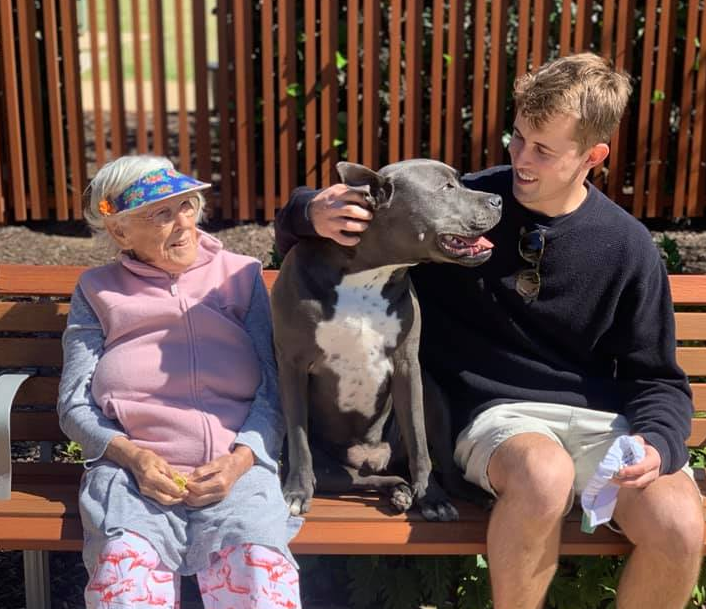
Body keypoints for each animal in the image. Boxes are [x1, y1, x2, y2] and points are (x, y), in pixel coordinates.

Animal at [270, 159, 500, 520]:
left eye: (461, 181)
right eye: (447, 188)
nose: (497, 200)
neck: (367, 274)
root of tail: (372, 458)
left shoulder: (407, 366)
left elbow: (419, 443)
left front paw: (432, 498)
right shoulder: (291, 365)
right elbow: (298, 435)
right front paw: (296, 491)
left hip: (432, 394)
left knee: (441, 466)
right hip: (335, 472)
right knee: (366, 478)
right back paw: (400, 491)